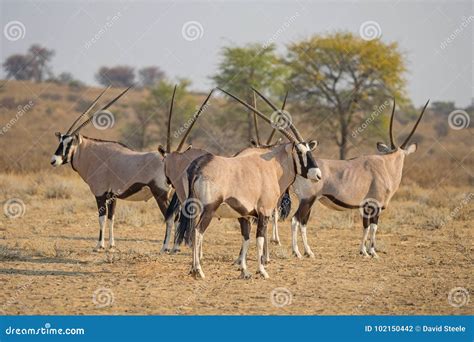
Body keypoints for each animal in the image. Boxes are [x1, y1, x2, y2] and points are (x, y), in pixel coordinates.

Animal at [49, 85, 178, 251]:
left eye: (69, 143)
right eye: (60, 141)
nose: (54, 160)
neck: (94, 154)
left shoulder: (100, 194)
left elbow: (102, 218)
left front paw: (99, 245)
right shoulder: (112, 196)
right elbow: (112, 218)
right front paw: (111, 244)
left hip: (160, 195)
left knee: (170, 218)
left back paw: (165, 247)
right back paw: (175, 247)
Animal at [176, 87, 324, 280]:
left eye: (309, 150)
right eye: (299, 152)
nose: (318, 175)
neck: (272, 166)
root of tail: (199, 165)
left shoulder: (245, 215)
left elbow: (246, 239)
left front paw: (244, 270)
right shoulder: (264, 212)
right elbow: (259, 239)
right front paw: (262, 270)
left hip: (193, 209)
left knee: (193, 232)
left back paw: (193, 269)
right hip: (208, 209)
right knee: (198, 232)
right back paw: (199, 270)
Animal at [274, 100, 430, 258]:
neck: (387, 165)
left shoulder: (366, 207)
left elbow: (365, 227)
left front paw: (363, 251)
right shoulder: (376, 205)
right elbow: (373, 227)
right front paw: (373, 252)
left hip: (309, 201)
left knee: (303, 222)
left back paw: (309, 252)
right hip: (307, 200)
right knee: (295, 220)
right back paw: (297, 252)